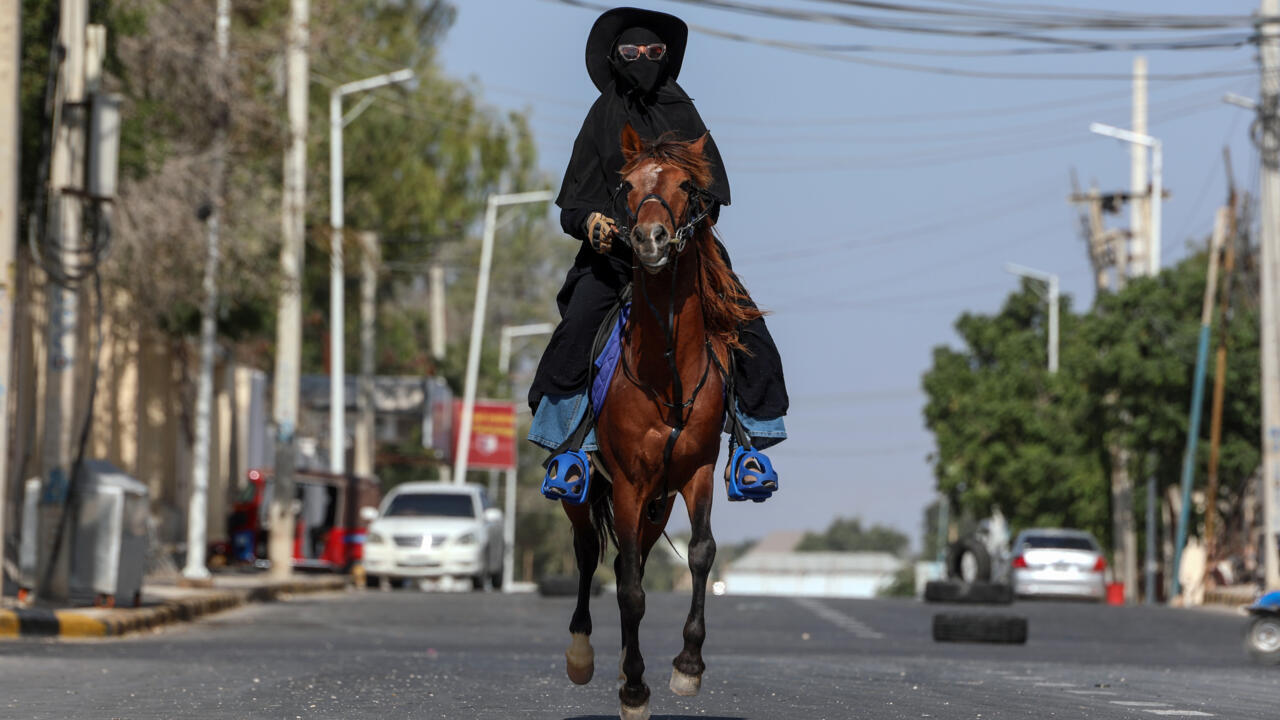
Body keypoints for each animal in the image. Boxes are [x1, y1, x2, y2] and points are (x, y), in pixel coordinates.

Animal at [560, 124, 757, 717]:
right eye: (625, 184)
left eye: (687, 185)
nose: (649, 240)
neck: (666, 373)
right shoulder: (627, 481)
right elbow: (627, 588)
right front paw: (633, 689)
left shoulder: (695, 473)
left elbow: (700, 553)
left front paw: (687, 666)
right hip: (586, 488)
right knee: (589, 553)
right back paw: (583, 655)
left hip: (658, 502)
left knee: (639, 558)